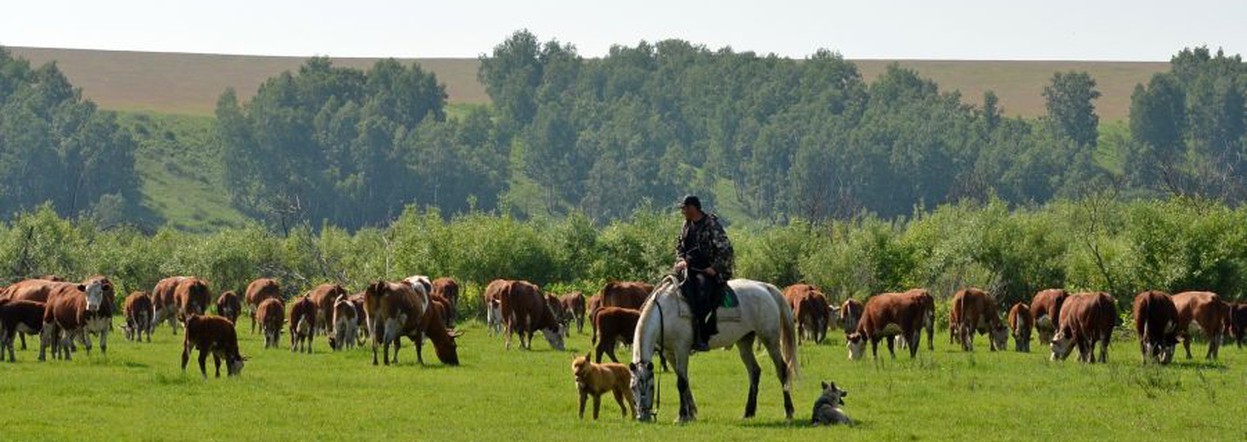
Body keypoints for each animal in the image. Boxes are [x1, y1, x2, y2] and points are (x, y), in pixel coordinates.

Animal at [633, 275, 798, 424]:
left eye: (650, 387)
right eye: (633, 387)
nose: (642, 417)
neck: (665, 312)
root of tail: (765, 287)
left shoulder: (681, 349)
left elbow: (681, 382)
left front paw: (682, 416)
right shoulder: (669, 353)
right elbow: (684, 380)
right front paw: (691, 413)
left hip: (770, 340)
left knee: (782, 370)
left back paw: (789, 411)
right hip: (744, 342)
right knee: (754, 372)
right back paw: (748, 412)